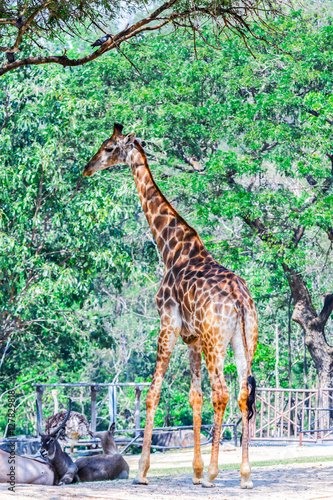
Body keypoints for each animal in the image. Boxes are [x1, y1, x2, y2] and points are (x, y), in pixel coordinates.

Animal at [82, 123, 256, 490]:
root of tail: (240, 299)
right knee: (241, 393)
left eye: (108, 148)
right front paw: (195, 472)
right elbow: (195, 397)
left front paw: (143, 472)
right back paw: (245, 476)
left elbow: (152, 393)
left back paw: (216, 476)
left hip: (215, 340)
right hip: (243, 339)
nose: (88, 168)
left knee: (222, 392)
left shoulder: (168, 323)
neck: (170, 248)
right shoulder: (192, 339)